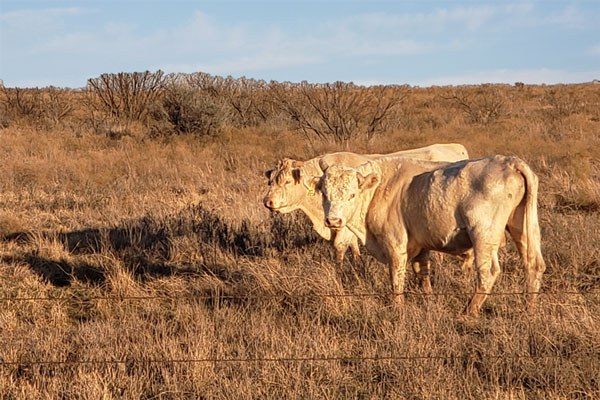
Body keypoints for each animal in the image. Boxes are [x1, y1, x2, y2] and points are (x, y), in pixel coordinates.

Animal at [316, 156, 548, 316]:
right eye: (324, 194)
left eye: (351, 194)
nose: (333, 221)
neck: (381, 189)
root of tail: (509, 161)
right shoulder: (420, 245)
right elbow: (422, 273)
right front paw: (428, 300)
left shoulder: (395, 244)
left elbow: (396, 278)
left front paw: (398, 308)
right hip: (522, 227)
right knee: (534, 264)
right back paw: (530, 309)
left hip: (484, 234)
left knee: (488, 272)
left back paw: (468, 312)